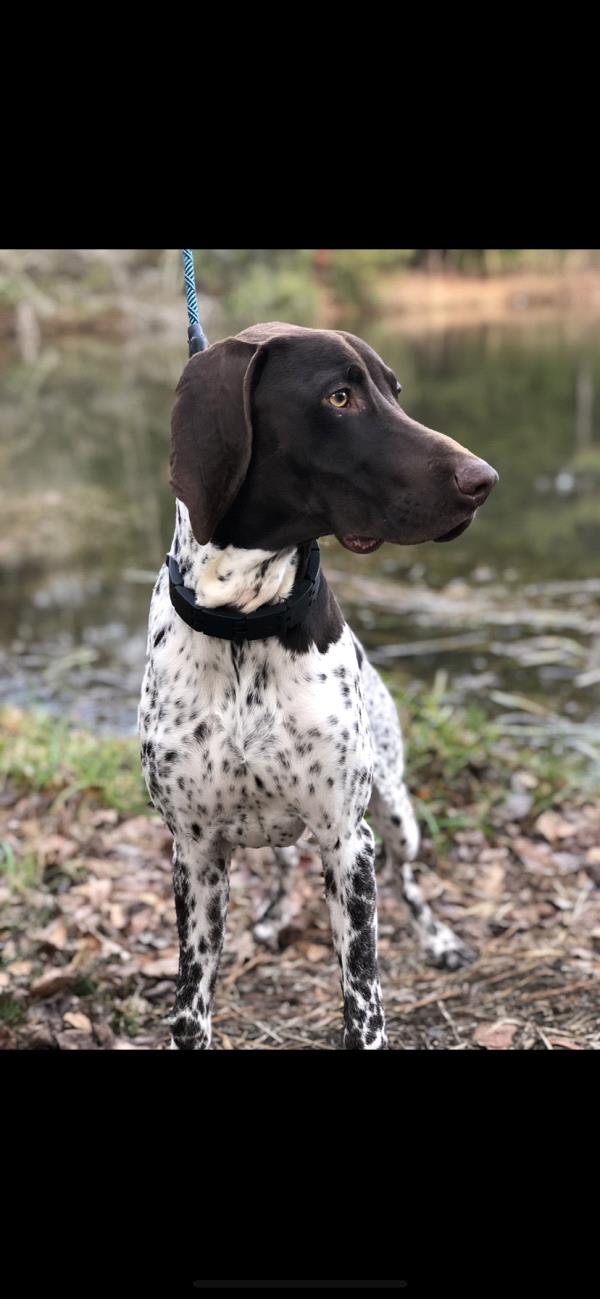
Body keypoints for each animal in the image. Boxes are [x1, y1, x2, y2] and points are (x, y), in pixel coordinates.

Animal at [139, 322, 496, 1044]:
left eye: (394, 391)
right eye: (338, 397)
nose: (485, 479)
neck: (245, 620)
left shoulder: (346, 843)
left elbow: (364, 1008)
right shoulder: (194, 852)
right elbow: (192, 1008)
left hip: (394, 813)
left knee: (409, 877)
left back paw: (440, 939)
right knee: (281, 865)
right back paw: (274, 916)